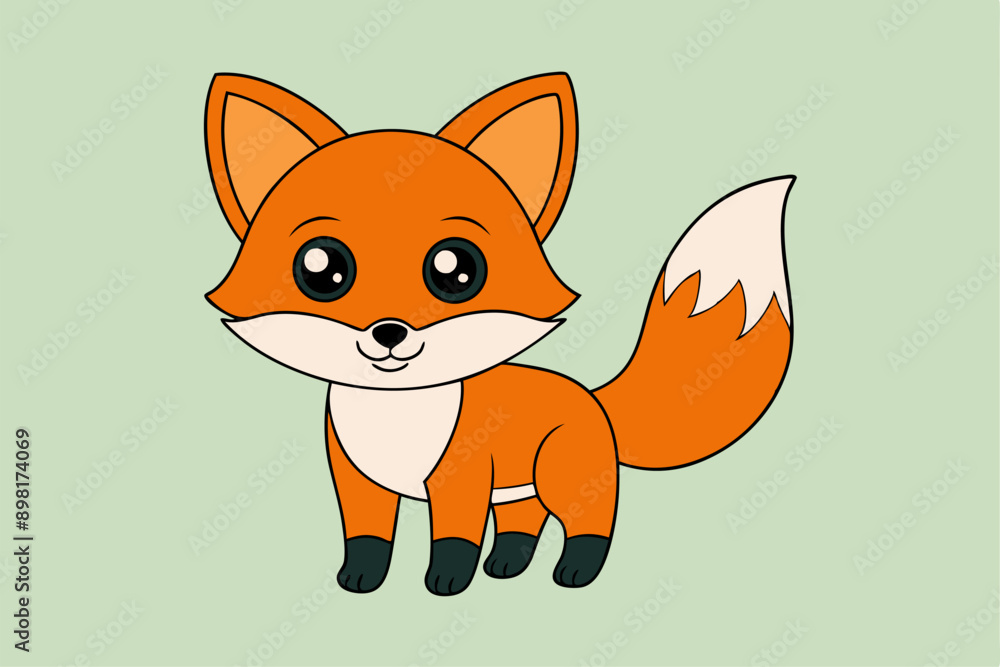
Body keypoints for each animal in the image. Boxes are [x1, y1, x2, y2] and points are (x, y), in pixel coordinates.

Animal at [203, 72, 794, 596]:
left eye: (457, 270)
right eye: (321, 270)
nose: (389, 332)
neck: (396, 417)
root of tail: (591, 396)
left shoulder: (460, 480)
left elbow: (454, 540)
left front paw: (445, 584)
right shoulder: (357, 482)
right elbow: (367, 540)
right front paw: (361, 580)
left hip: (563, 475)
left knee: (589, 523)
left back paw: (575, 572)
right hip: (517, 488)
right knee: (521, 527)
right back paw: (506, 567)